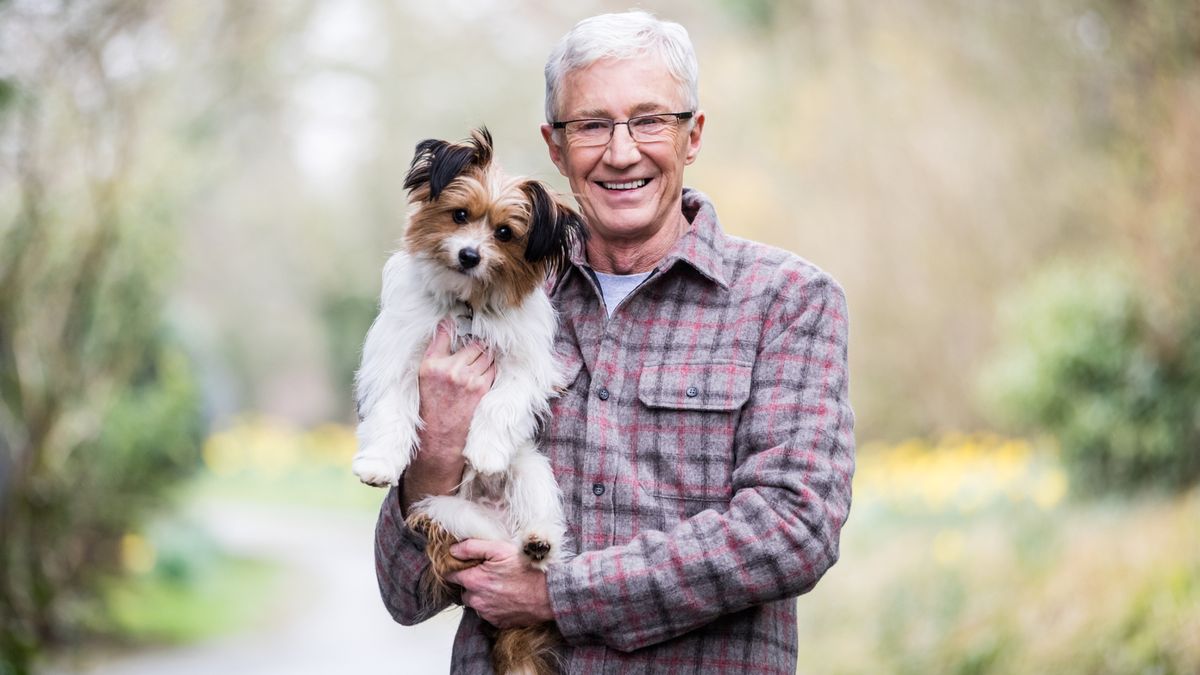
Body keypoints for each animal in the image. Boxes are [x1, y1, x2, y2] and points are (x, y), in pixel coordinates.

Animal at [350, 127, 580, 672]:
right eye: (459, 215)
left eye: (505, 233)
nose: (470, 255)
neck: (467, 306)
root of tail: (494, 514)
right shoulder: (398, 358)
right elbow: (392, 413)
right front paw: (379, 464)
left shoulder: (524, 366)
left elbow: (503, 403)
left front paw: (485, 452)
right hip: (449, 515)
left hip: (532, 472)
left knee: (540, 534)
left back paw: (538, 542)